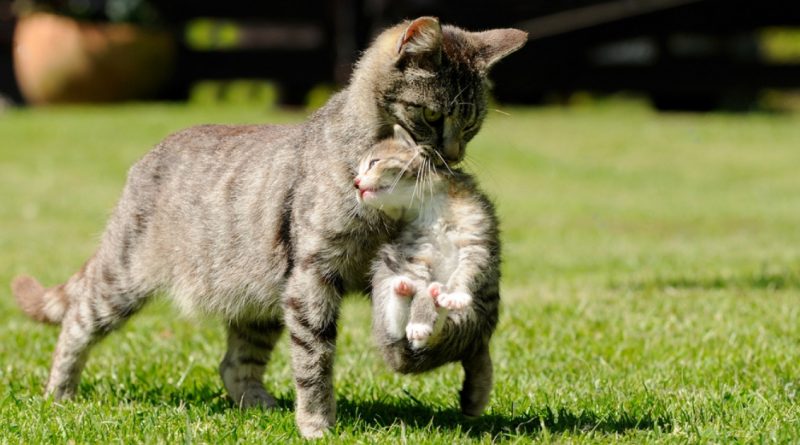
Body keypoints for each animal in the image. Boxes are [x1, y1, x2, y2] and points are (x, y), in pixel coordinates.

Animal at [360, 123, 504, 414]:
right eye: (357, 171)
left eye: (373, 162)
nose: (356, 184)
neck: (430, 204)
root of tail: (476, 345)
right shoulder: (419, 254)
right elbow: (421, 288)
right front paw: (419, 313)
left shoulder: (476, 241)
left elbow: (466, 271)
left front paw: (455, 294)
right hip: (385, 268)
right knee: (400, 331)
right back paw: (404, 294)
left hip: (471, 317)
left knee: (438, 336)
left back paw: (438, 305)